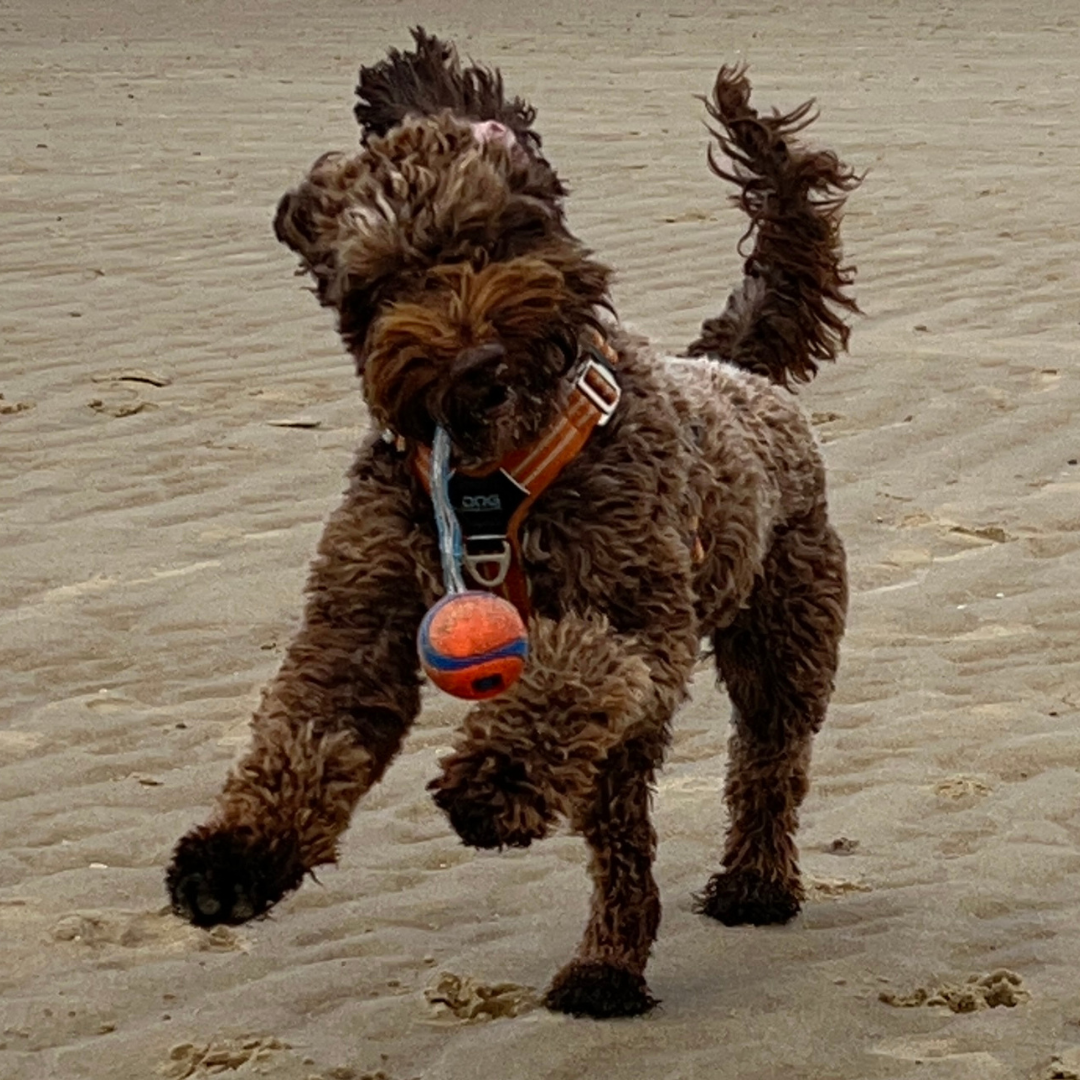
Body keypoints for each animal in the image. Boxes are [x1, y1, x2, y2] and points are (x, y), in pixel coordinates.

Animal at [166, 29, 859, 1015]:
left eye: (494, 238)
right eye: (382, 283)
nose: (475, 361)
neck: (489, 474)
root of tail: (730, 368)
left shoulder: (634, 618)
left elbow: (569, 675)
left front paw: (489, 782)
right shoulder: (360, 621)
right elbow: (306, 728)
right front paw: (235, 857)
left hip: (783, 636)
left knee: (768, 761)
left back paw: (754, 883)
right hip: (633, 741)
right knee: (623, 840)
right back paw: (608, 964)